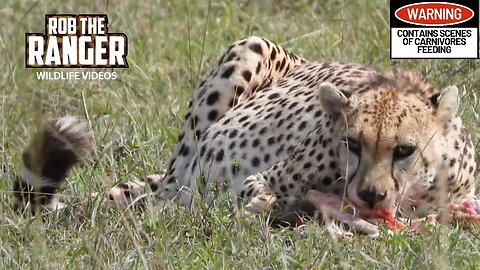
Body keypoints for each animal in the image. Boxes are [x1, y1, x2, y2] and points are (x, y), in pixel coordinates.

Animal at [15, 35, 480, 232]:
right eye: (352, 144)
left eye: (404, 150)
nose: (370, 195)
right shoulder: (266, 176)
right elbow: (262, 193)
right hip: (249, 51)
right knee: (168, 196)